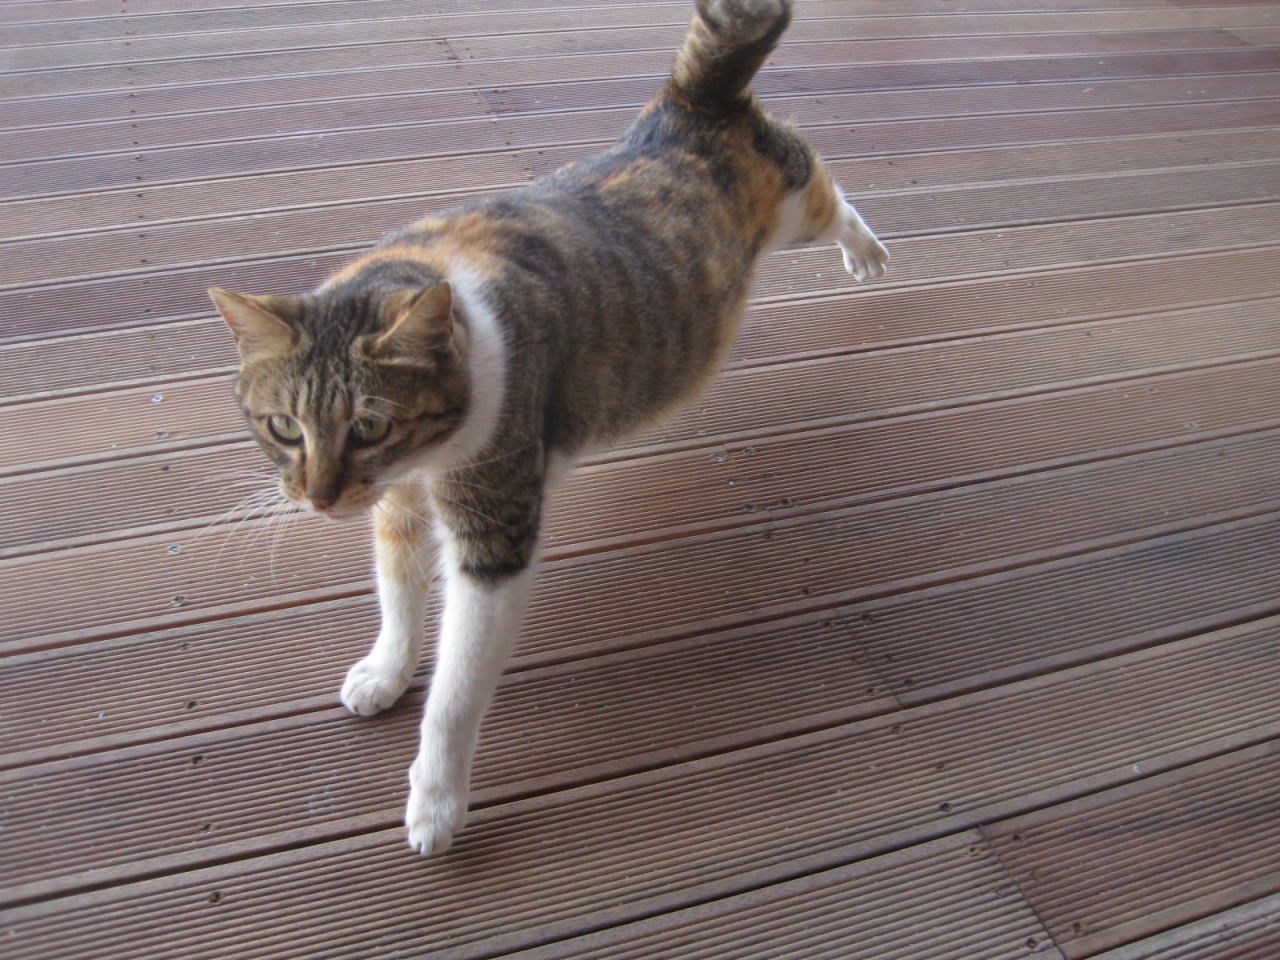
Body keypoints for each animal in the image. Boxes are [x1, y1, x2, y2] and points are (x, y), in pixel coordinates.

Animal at [209, 0, 890, 855]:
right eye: (283, 425)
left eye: (368, 425)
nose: (318, 498)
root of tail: (687, 102)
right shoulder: (397, 509)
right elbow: (397, 596)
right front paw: (386, 669)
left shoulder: (492, 531)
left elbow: (457, 690)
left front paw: (436, 800)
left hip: (795, 207)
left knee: (831, 190)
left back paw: (868, 251)